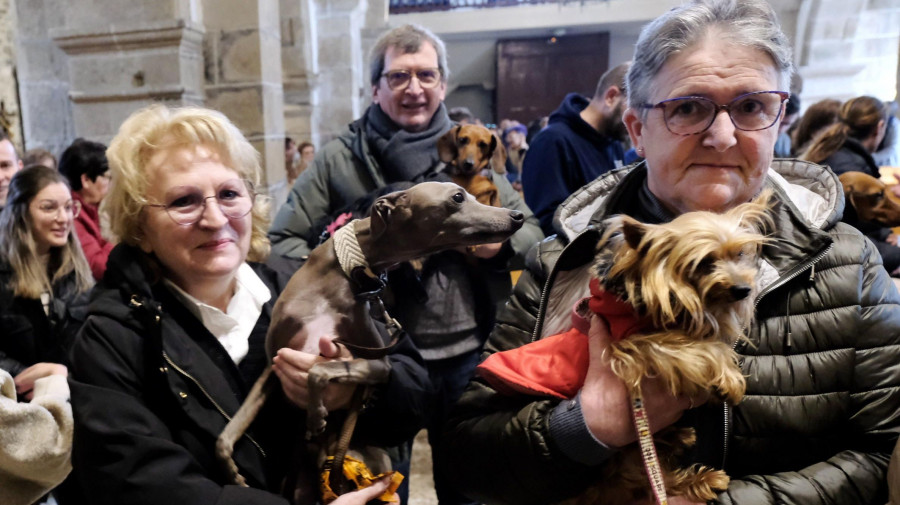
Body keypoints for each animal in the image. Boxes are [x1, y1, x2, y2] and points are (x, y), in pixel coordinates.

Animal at [220, 182, 528, 504]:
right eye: (458, 197)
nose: (517, 216)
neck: (344, 273)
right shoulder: (274, 363)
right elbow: (228, 433)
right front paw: (233, 472)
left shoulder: (377, 364)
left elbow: (320, 370)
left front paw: (316, 415)